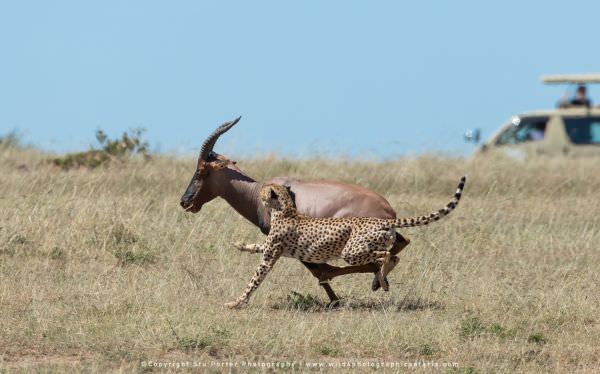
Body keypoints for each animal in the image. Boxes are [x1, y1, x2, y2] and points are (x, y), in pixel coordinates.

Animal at [178, 118, 410, 306]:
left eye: (201, 170)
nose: (185, 201)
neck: (259, 192)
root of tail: (388, 209)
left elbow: (321, 270)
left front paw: (335, 300)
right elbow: (320, 270)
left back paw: (379, 280)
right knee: (402, 243)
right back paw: (379, 279)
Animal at [225, 175, 468, 306]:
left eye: (266, 191)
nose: (259, 196)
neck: (285, 209)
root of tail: (379, 220)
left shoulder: (270, 256)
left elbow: (254, 281)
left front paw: (236, 302)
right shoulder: (274, 248)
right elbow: (256, 246)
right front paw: (239, 245)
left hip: (351, 251)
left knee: (388, 257)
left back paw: (382, 279)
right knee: (392, 256)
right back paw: (381, 280)